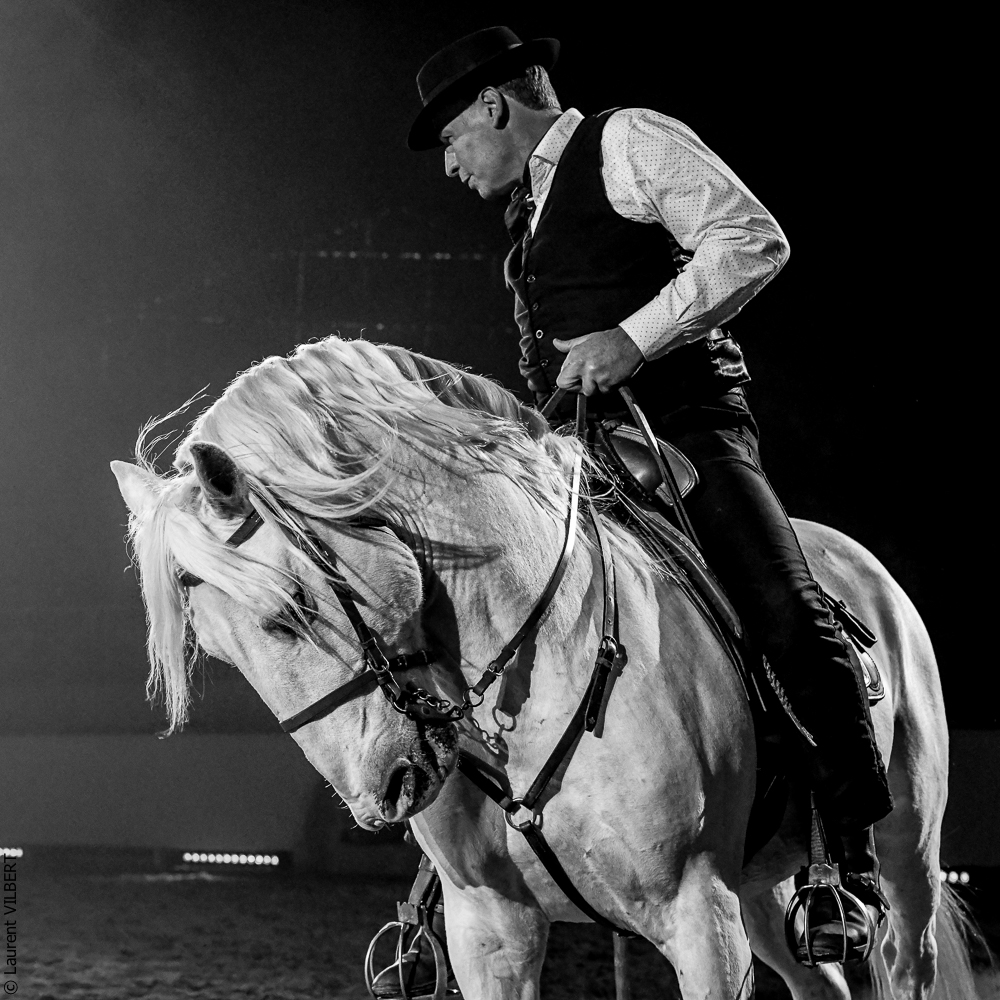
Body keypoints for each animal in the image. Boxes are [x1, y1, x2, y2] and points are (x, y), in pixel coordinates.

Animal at [111, 335, 976, 999]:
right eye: (217, 650)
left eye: (289, 608)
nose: (385, 793)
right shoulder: (492, 928)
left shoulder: (699, 912)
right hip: (761, 891)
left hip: (907, 859)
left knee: (907, 956)